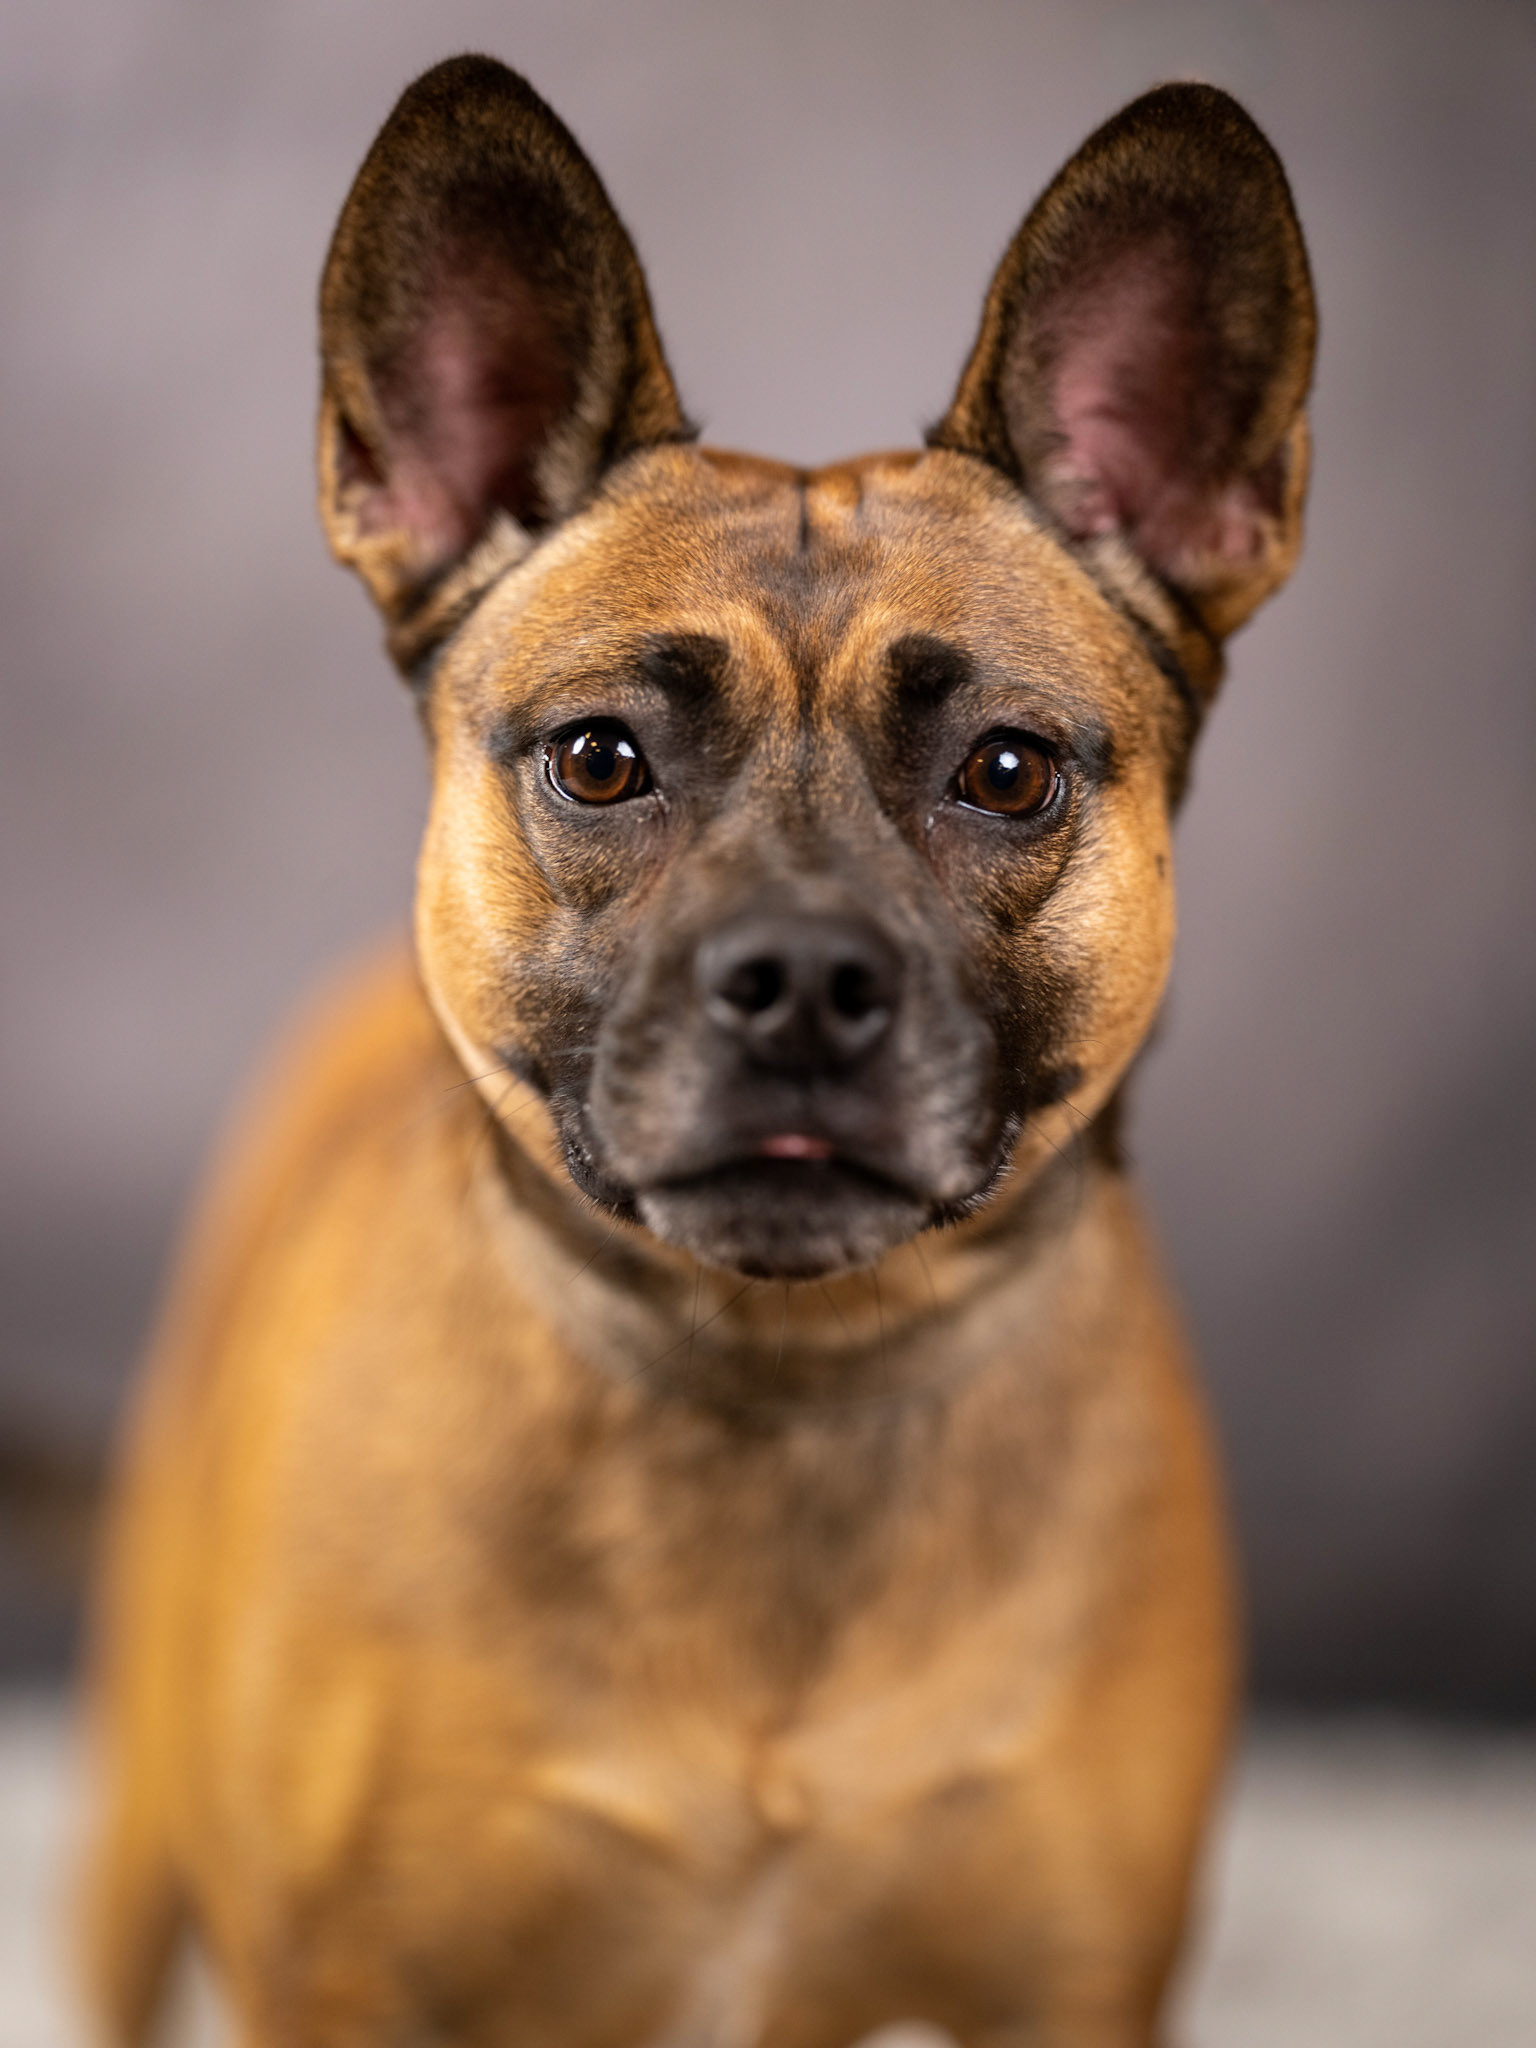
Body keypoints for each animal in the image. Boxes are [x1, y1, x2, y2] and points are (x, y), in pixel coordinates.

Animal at [82, 56, 1315, 2048]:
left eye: (1006, 771)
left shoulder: (1076, 1986)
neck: (779, 1376)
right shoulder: (335, 1978)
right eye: (600, 760)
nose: (801, 978)